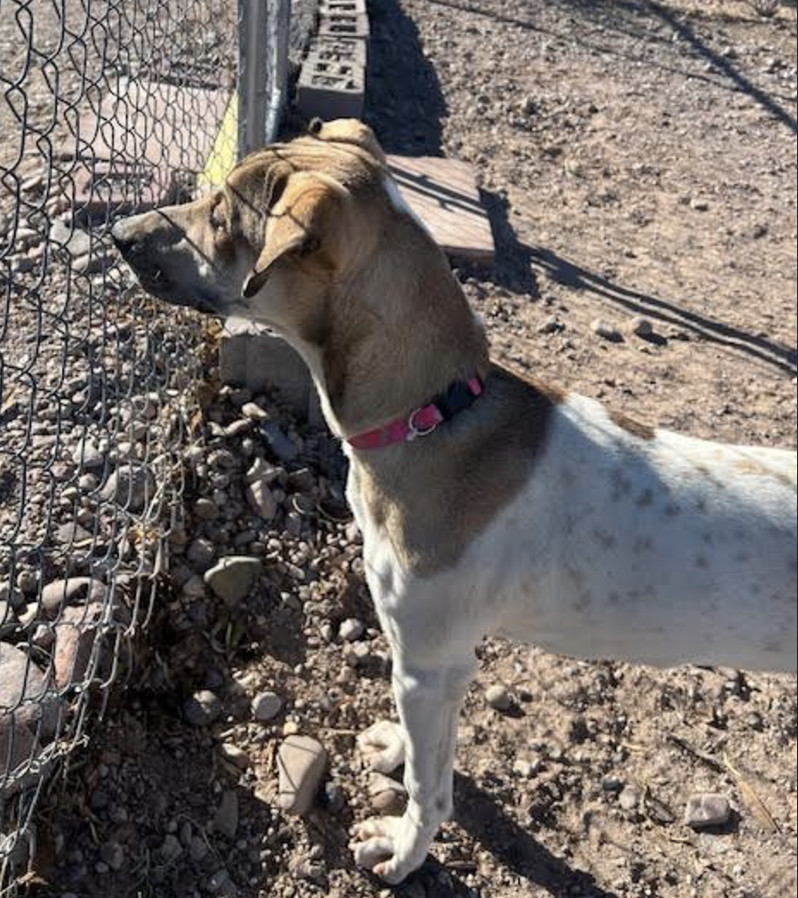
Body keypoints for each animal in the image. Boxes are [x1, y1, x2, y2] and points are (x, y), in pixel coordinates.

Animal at [114, 115, 798, 880]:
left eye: (223, 215)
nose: (118, 233)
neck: (435, 416)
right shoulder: (430, 670)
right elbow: (420, 746)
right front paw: (392, 747)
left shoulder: (430, 661)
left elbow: (430, 786)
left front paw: (403, 849)